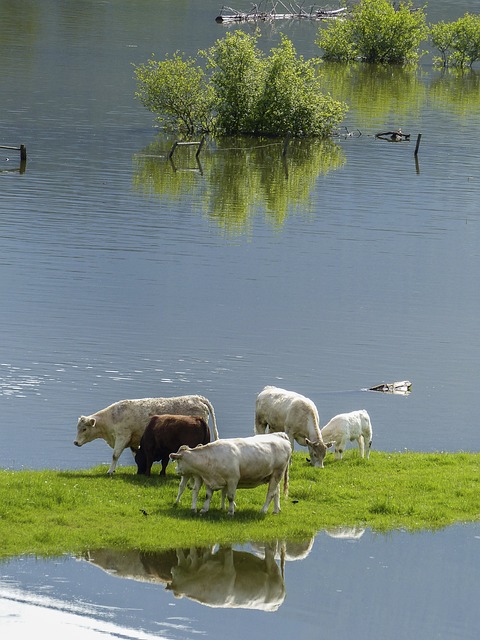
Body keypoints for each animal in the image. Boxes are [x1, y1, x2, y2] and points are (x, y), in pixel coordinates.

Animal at [74, 392, 219, 472]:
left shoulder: (123, 436)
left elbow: (115, 455)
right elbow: (136, 456)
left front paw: (110, 471)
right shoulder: (133, 441)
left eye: (84, 429)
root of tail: (198, 398)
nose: (75, 442)